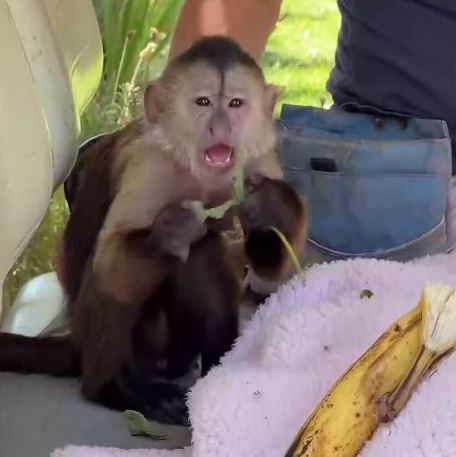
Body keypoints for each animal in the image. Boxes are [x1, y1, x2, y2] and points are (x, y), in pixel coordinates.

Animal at [0, 35, 308, 424]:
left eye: (236, 104)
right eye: (203, 102)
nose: (220, 126)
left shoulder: (260, 163)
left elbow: (272, 271)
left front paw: (271, 207)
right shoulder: (151, 166)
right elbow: (110, 263)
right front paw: (172, 231)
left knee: (208, 253)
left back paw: (215, 371)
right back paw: (111, 388)